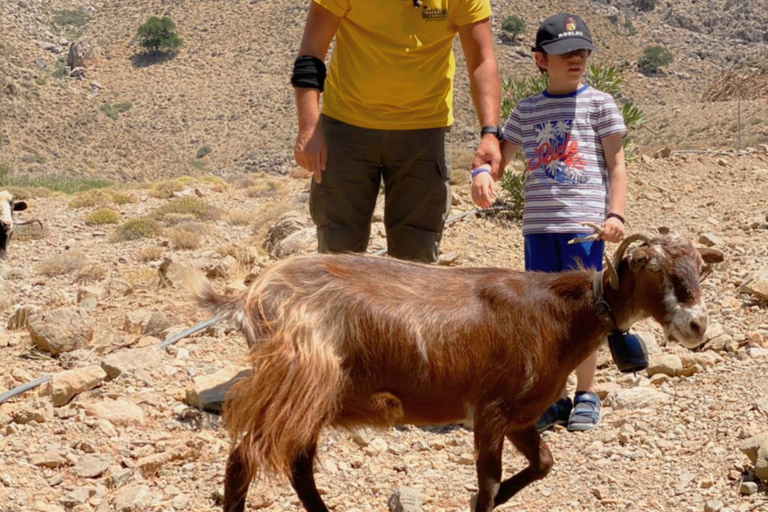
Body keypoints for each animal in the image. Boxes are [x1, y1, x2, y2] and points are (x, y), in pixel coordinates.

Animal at [189, 233, 724, 512]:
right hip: (296, 382)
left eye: (700, 267)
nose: (697, 325)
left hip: (315, 397)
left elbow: (543, 463)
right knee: (245, 460)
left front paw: (498, 496)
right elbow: (488, 481)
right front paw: (481, 501)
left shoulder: (519, 415)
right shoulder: (489, 409)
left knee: (296, 465)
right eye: (652, 268)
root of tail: (252, 295)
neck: (555, 314)